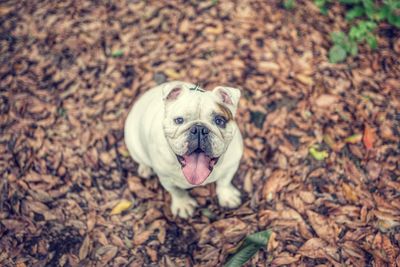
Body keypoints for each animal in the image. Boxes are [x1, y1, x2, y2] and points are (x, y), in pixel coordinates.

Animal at [124, 81, 244, 220]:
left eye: (220, 121)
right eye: (179, 120)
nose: (199, 129)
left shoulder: (231, 166)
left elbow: (224, 181)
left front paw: (227, 196)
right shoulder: (166, 178)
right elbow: (177, 191)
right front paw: (183, 204)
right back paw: (145, 169)